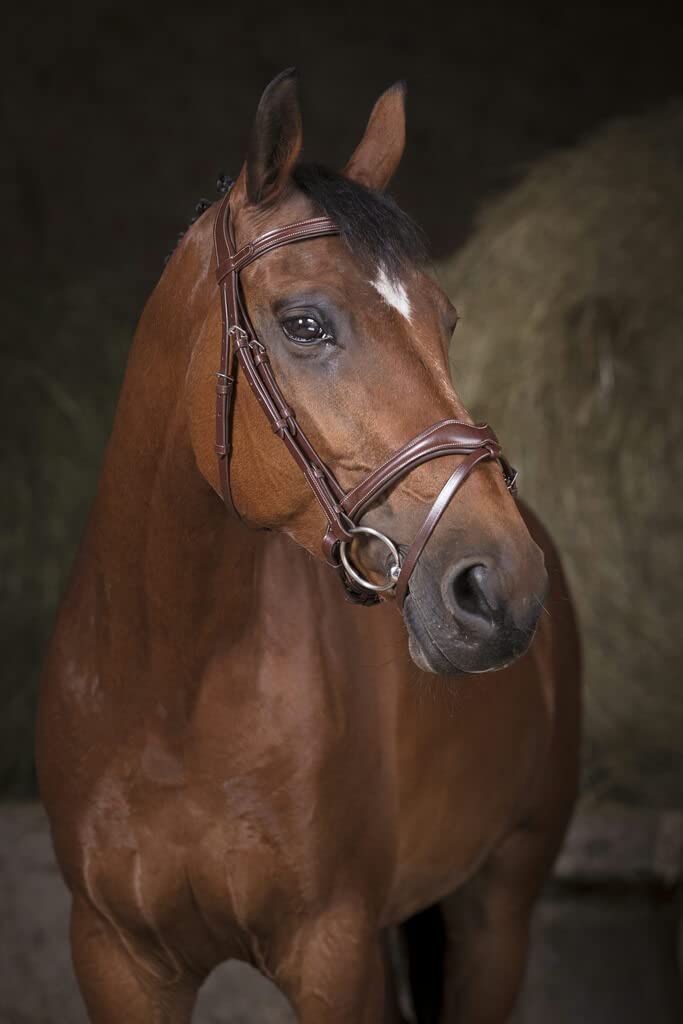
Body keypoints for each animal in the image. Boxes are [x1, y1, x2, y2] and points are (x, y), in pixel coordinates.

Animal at [36, 70, 580, 1023]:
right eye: (305, 324)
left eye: (445, 321)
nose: (503, 588)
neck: (168, 693)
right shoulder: (116, 958)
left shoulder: (334, 955)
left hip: (498, 909)